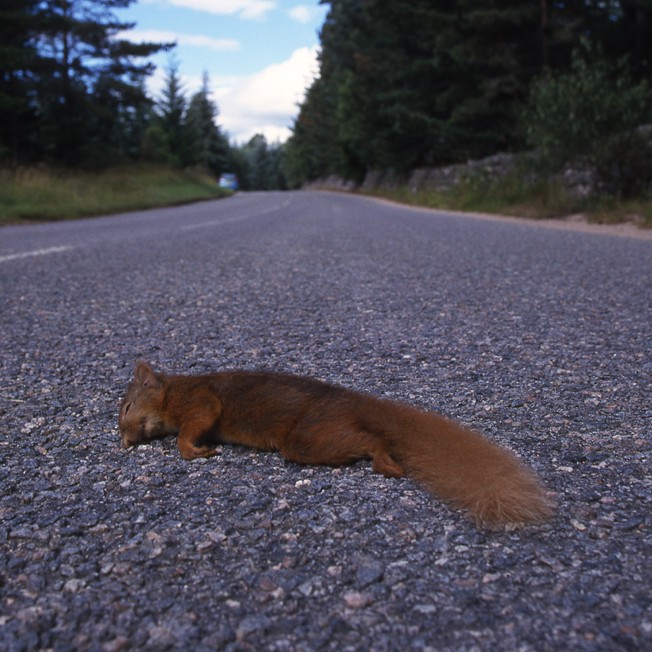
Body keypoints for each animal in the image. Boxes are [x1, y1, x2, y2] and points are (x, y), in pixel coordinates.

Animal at [118, 361, 554, 527]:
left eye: (125, 406)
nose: (123, 441)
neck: (172, 393)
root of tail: (352, 402)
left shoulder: (199, 402)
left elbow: (193, 428)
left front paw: (195, 450)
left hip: (310, 437)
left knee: (373, 439)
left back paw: (385, 462)